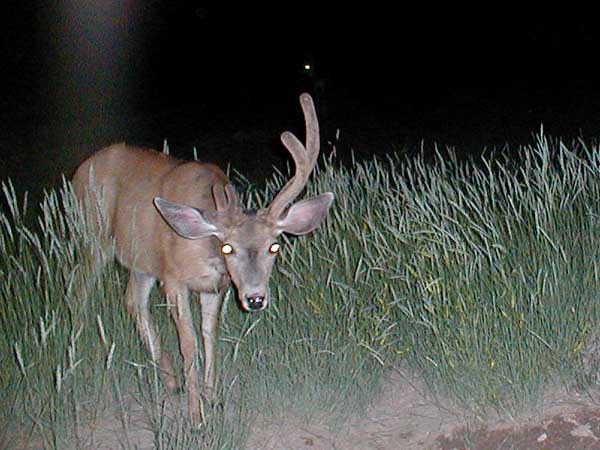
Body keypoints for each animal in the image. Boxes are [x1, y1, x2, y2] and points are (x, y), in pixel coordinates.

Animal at [71, 94, 332, 426]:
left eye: (274, 246)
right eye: (228, 248)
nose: (255, 299)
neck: (206, 248)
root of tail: (82, 167)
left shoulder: (216, 287)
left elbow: (210, 336)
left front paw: (214, 398)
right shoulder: (173, 279)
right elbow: (189, 344)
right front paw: (196, 417)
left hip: (142, 260)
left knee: (132, 300)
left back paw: (171, 380)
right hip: (94, 237)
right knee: (79, 289)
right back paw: (76, 348)